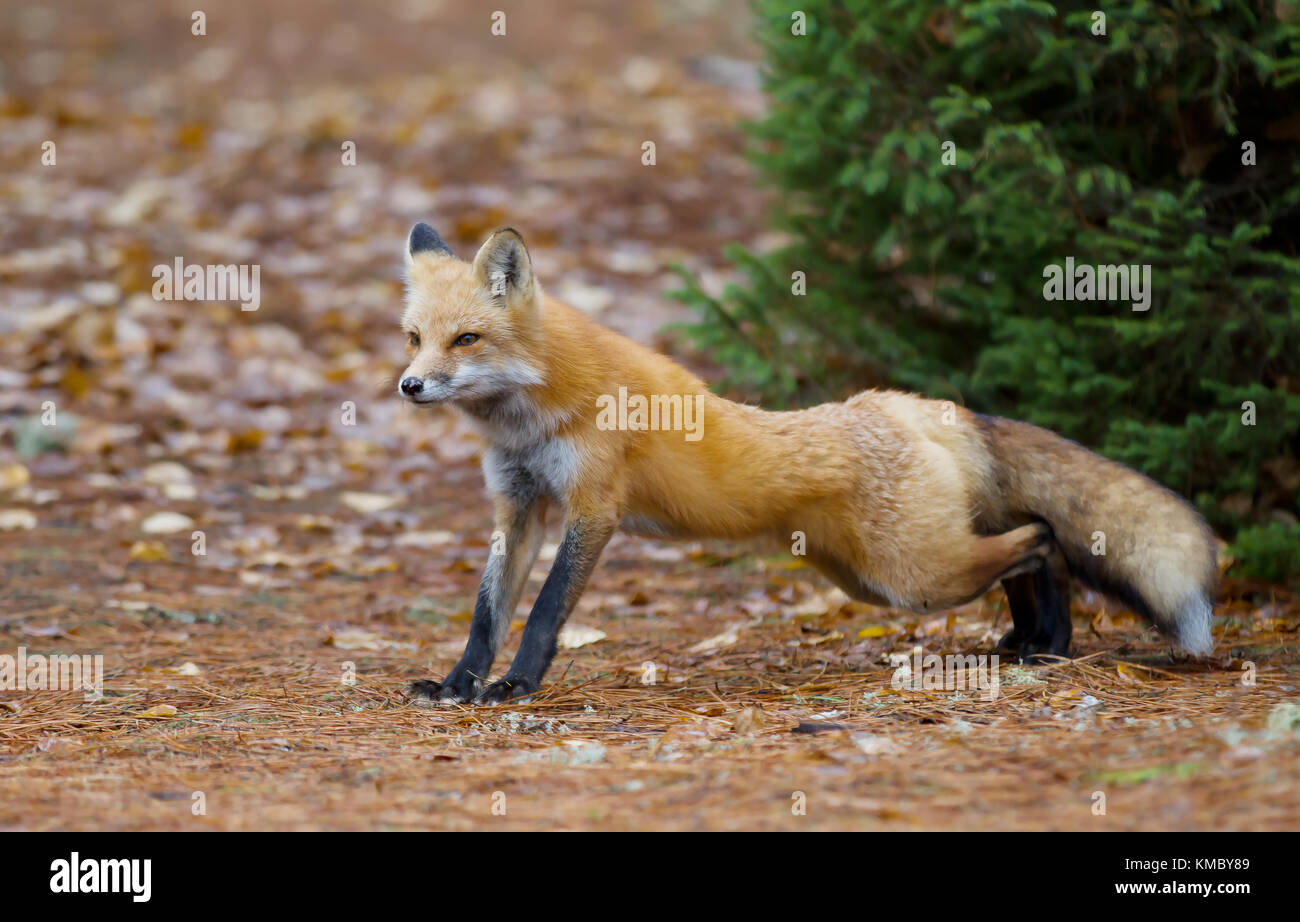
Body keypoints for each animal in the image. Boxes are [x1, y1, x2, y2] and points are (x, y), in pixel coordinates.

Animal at [397, 222, 1219, 705]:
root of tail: (912, 404)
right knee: (1025, 541)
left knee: (1043, 538)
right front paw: (458, 684)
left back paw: (1051, 641)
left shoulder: (592, 510)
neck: (532, 421)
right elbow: (486, 613)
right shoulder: (518, 509)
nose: (409, 386)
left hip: (910, 576)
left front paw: (516, 686)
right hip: (874, 575)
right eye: (413, 338)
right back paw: (1029, 644)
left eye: (466, 339)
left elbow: (540, 614)